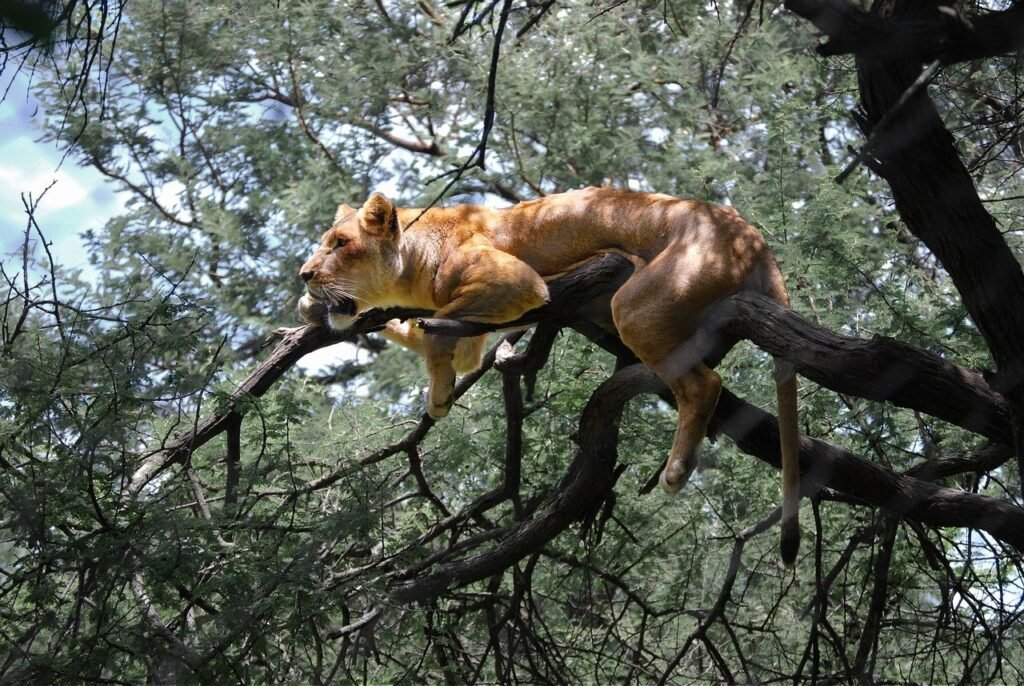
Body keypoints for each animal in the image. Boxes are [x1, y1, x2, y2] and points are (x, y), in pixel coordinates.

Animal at [298, 187, 801, 563]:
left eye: (340, 244)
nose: (304, 274)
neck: (414, 264)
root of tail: (755, 239)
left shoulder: (516, 282)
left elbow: (438, 328)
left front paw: (438, 395)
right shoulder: (481, 323)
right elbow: (433, 336)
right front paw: (326, 311)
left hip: (634, 305)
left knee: (703, 384)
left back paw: (676, 471)